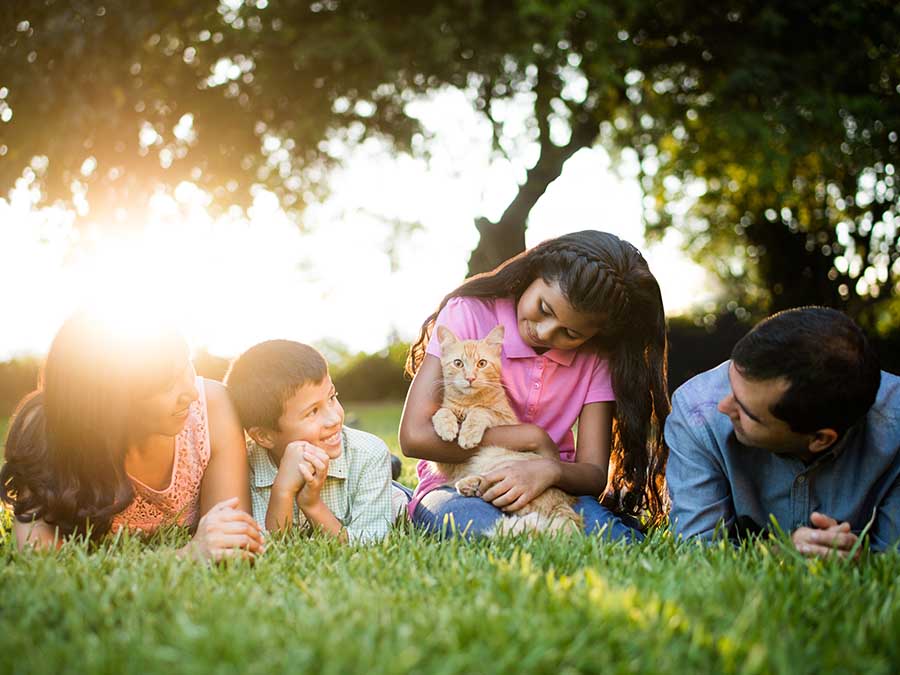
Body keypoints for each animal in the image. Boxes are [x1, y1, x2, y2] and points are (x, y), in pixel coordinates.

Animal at [430, 324, 584, 536]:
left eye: (482, 363)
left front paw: (468, 432)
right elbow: (442, 411)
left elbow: (481, 411)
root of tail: (564, 500)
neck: (468, 401)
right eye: (458, 363)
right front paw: (447, 426)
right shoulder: (444, 463)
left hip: (498, 460)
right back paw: (471, 486)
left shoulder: (506, 420)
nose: (470, 378)